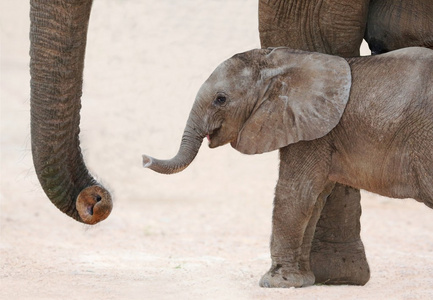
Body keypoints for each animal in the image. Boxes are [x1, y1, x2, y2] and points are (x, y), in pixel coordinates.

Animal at [143, 47, 432, 288]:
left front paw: (275, 283)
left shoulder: (310, 131)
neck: (284, 62)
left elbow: (295, 193)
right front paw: (302, 282)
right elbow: (314, 200)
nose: (144, 159)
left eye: (221, 99)